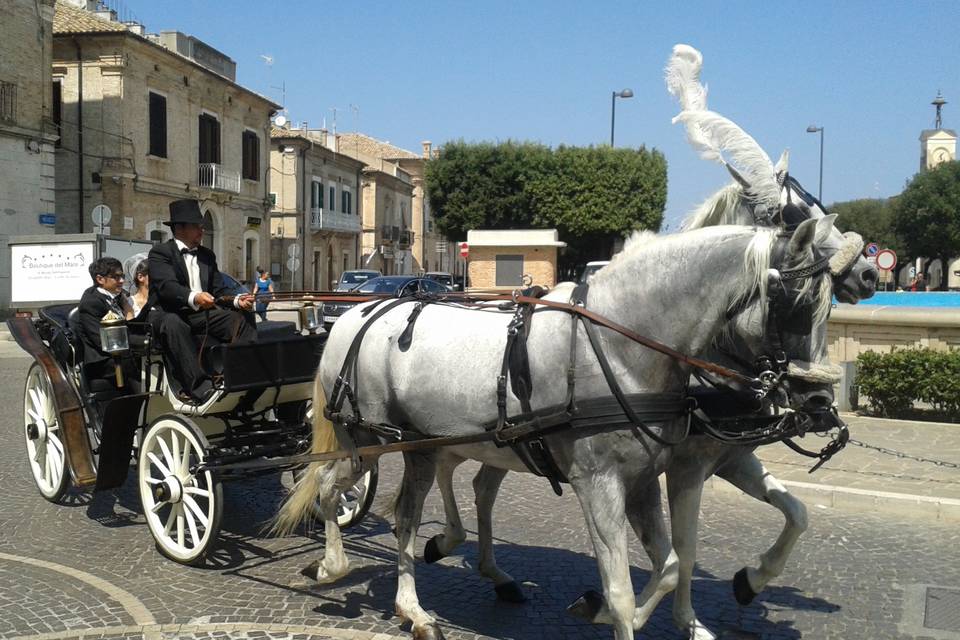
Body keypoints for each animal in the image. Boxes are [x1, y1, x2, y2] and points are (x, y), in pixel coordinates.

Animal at [276, 219, 832, 640]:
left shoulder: (644, 480)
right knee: (340, 493)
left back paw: (420, 596)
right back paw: (341, 571)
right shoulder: (603, 482)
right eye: (798, 303)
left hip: (433, 445)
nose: (820, 400)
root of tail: (355, 316)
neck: (621, 343)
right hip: (366, 443)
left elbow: (674, 563)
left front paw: (614, 609)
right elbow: (623, 588)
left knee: (417, 509)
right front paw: (612, 609)